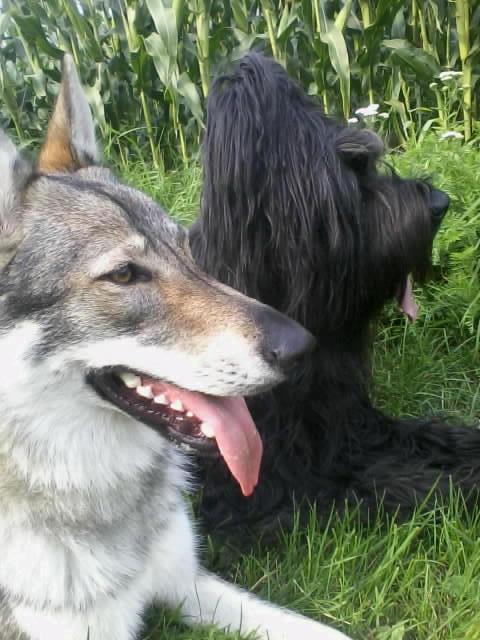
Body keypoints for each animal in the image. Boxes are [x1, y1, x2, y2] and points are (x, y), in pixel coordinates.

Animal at [190, 53, 480, 538]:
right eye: (356, 169)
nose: (441, 202)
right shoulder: (270, 488)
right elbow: (392, 483)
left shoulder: (350, 423)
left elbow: (425, 434)